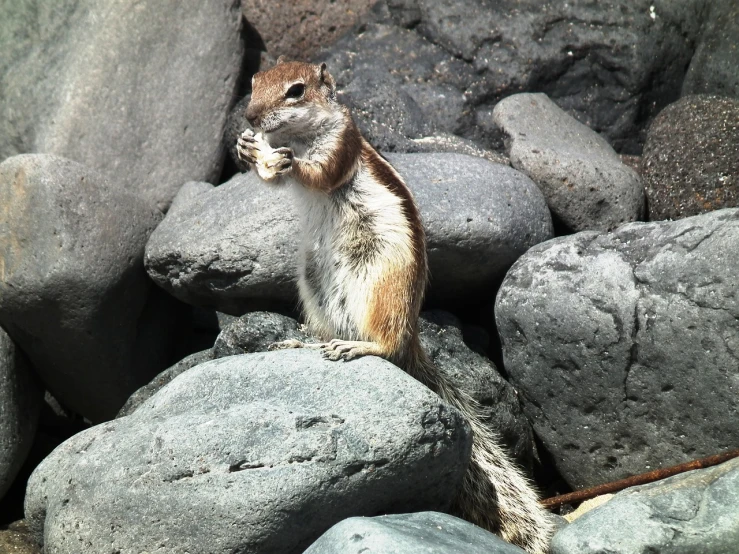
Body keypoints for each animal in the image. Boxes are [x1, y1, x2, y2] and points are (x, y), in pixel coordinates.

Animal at [237, 57, 556, 552]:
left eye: (296, 91)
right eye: (253, 83)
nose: (250, 117)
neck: (299, 137)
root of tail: (412, 338)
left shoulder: (341, 147)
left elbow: (317, 174)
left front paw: (281, 161)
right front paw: (249, 150)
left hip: (381, 285)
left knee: (384, 343)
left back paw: (359, 346)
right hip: (313, 282)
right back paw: (304, 344)